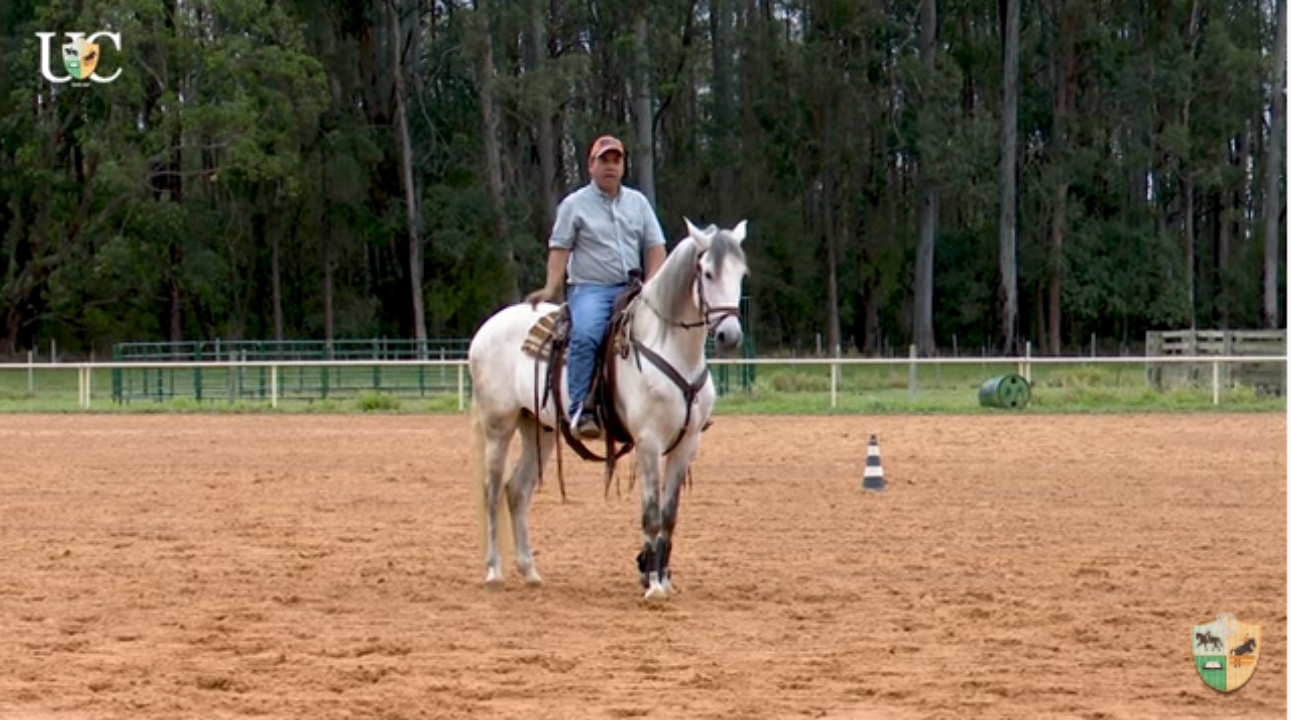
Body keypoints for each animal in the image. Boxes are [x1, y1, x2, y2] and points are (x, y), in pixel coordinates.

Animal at [467, 220, 748, 603]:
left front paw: (662, 578)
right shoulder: (648, 442)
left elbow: (669, 516)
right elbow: (651, 514)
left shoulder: (687, 444)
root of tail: (487, 328)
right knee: (492, 491)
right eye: (707, 273)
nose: (729, 336)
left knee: (518, 491)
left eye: (741, 273)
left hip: (540, 429)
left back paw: (530, 572)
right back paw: (494, 571)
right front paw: (653, 586)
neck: (670, 349)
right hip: (499, 425)